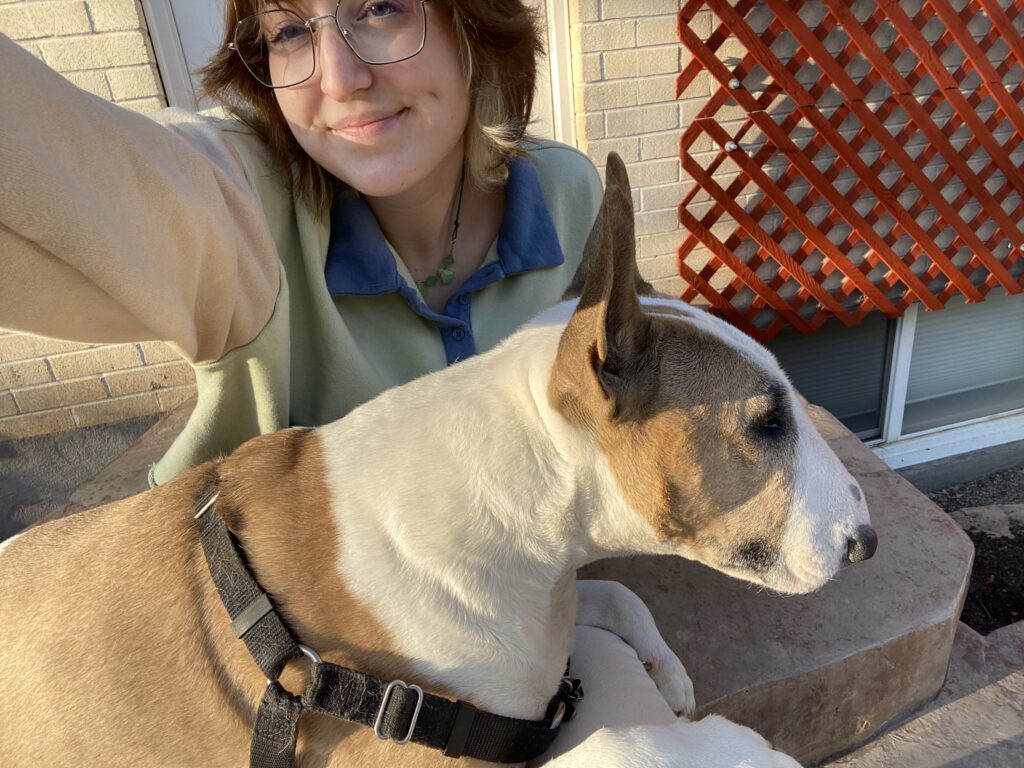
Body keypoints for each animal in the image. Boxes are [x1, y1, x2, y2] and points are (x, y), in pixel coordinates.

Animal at [0, 156, 872, 768]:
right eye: (766, 422)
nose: (865, 542)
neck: (518, 516)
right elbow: (621, 740)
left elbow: (616, 592)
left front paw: (668, 671)